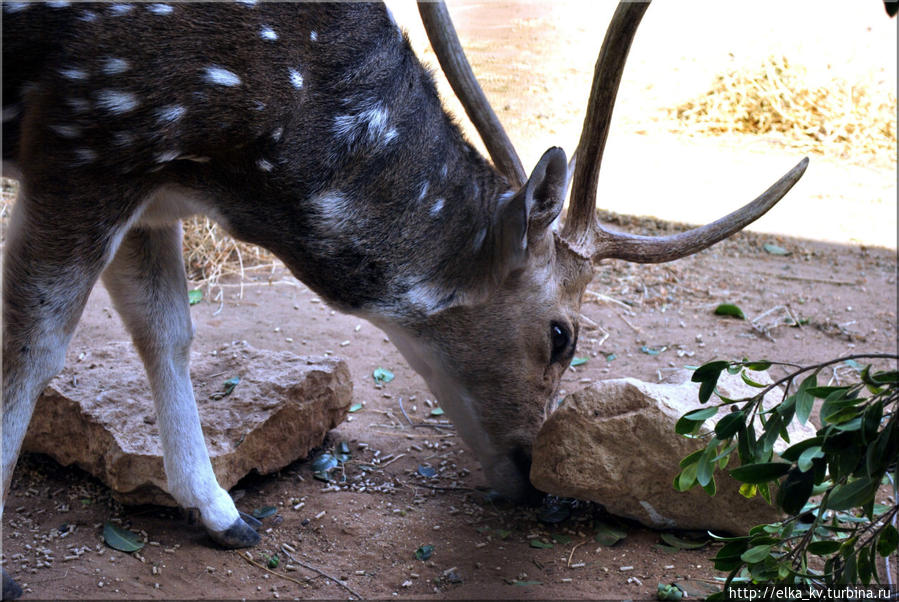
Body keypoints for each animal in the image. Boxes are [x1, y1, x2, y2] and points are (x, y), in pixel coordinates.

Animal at [1, 0, 808, 592]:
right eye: (561, 334)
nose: (536, 478)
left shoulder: (150, 185)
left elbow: (166, 332)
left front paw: (223, 516)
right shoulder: (89, 133)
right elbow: (32, 347)